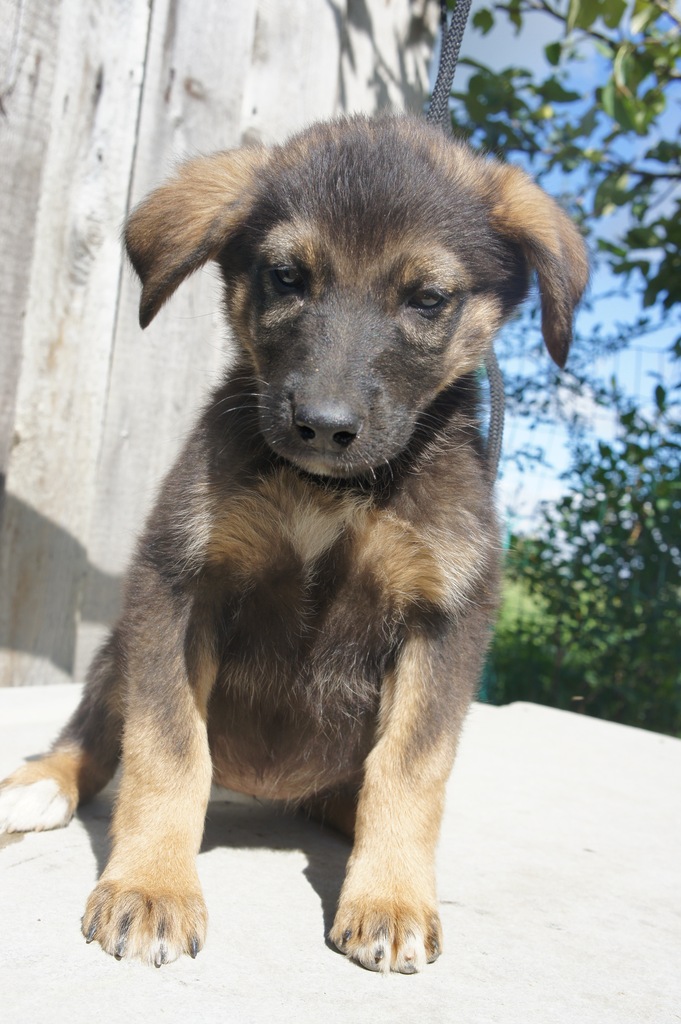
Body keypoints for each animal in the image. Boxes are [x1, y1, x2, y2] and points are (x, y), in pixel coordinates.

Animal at [0, 114, 587, 972]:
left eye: (428, 299)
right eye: (285, 277)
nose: (323, 425)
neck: (329, 493)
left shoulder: (445, 616)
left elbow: (409, 771)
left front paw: (391, 897)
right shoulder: (177, 582)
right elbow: (168, 749)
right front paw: (152, 885)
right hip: (119, 650)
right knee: (98, 732)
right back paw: (41, 781)